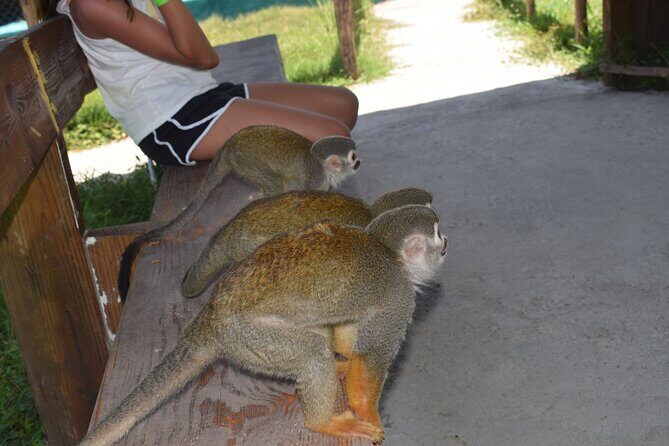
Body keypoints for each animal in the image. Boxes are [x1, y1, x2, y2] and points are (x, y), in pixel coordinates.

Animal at [79, 205, 448, 446]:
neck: (386, 249)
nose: (446, 242)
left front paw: (346, 360)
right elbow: (371, 357)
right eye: (437, 233)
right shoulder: (398, 296)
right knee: (310, 352)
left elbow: (349, 326)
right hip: (248, 336)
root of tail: (211, 315)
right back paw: (323, 423)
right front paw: (369, 415)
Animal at [118, 125, 361, 301]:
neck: (322, 166)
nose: (359, 162)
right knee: (275, 184)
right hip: (244, 159)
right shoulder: (314, 178)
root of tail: (227, 144)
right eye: (352, 157)